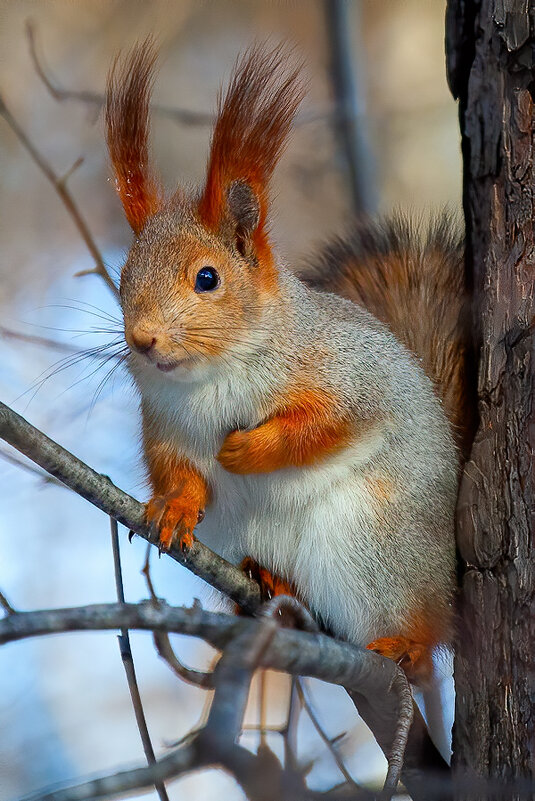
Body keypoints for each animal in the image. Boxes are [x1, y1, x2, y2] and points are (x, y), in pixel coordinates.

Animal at [104, 42, 474, 680]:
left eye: (208, 278)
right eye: (123, 278)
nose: (144, 340)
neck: (213, 377)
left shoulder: (351, 375)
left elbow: (327, 424)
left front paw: (245, 450)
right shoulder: (164, 422)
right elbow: (174, 467)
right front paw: (176, 505)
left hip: (379, 549)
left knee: (424, 629)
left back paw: (407, 643)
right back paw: (269, 578)